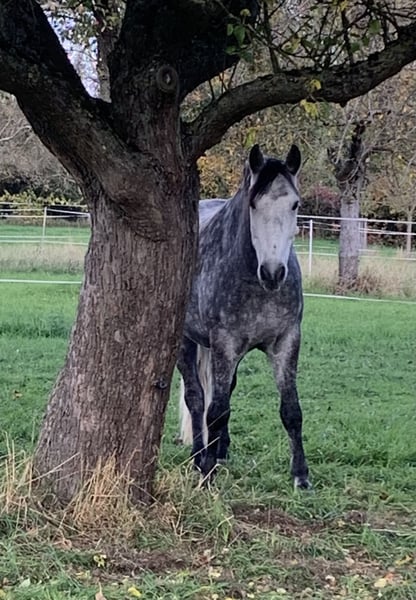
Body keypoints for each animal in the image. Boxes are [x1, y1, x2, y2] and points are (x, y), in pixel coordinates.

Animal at [177, 144, 310, 490]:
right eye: (253, 203)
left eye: (295, 204)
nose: (274, 272)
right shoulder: (224, 344)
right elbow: (215, 410)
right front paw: (207, 472)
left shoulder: (287, 341)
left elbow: (291, 410)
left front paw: (301, 476)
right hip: (186, 342)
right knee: (196, 398)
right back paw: (199, 455)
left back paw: (220, 449)